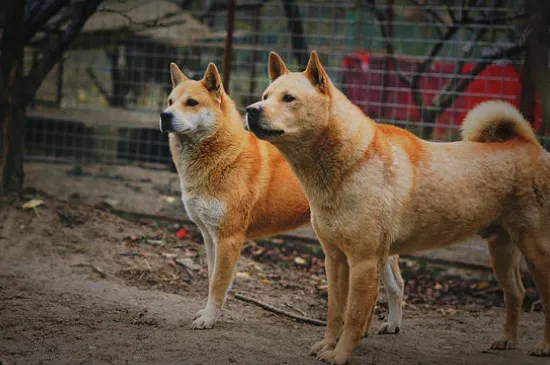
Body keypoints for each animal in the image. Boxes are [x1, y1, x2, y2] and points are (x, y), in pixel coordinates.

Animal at [158, 61, 406, 330]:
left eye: (191, 102)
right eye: (170, 101)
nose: (164, 115)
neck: (225, 155)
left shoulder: (229, 238)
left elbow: (217, 284)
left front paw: (209, 319)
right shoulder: (209, 236)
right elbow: (213, 279)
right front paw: (206, 313)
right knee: (397, 284)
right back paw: (390, 326)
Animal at [248, 50, 550, 362]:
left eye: (289, 98)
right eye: (266, 95)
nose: (251, 109)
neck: (350, 163)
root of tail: (528, 144)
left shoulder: (364, 261)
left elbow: (353, 317)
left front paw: (340, 355)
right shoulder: (335, 259)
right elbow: (335, 312)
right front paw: (327, 345)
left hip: (536, 250)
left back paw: (543, 347)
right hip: (500, 250)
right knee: (516, 293)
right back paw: (507, 340)